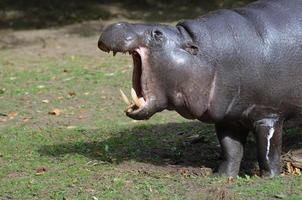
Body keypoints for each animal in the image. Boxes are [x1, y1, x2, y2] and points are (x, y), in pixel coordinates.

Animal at [98, 0, 302, 178]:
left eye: (158, 34)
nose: (117, 24)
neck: (206, 55)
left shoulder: (269, 116)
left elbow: (267, 151)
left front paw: (269, 177)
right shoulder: (228, 117)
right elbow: (230, 149)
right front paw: (222, 176)